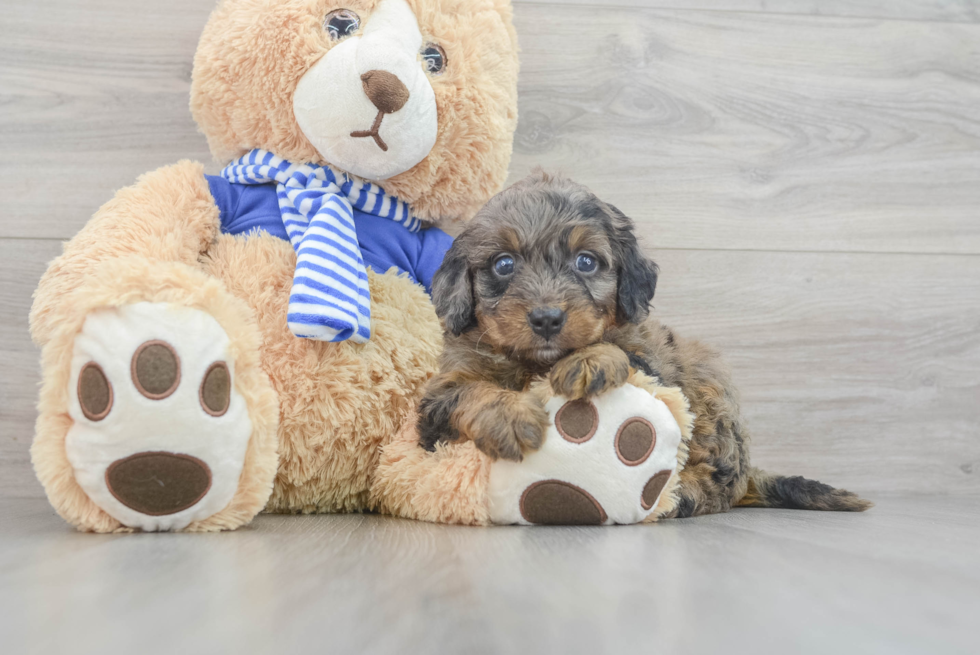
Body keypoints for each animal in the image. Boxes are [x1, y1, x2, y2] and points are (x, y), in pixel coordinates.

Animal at [418, 173, 868, 516]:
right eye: (504, 264)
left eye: (586, 261)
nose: (547, 318)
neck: (535, 362)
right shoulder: (435, 404)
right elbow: (470, 391)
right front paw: (510, 417)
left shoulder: (653, 365)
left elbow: (620, 350)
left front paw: (590, 360)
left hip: (712, 394)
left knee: (719, 480)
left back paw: (682, 496)